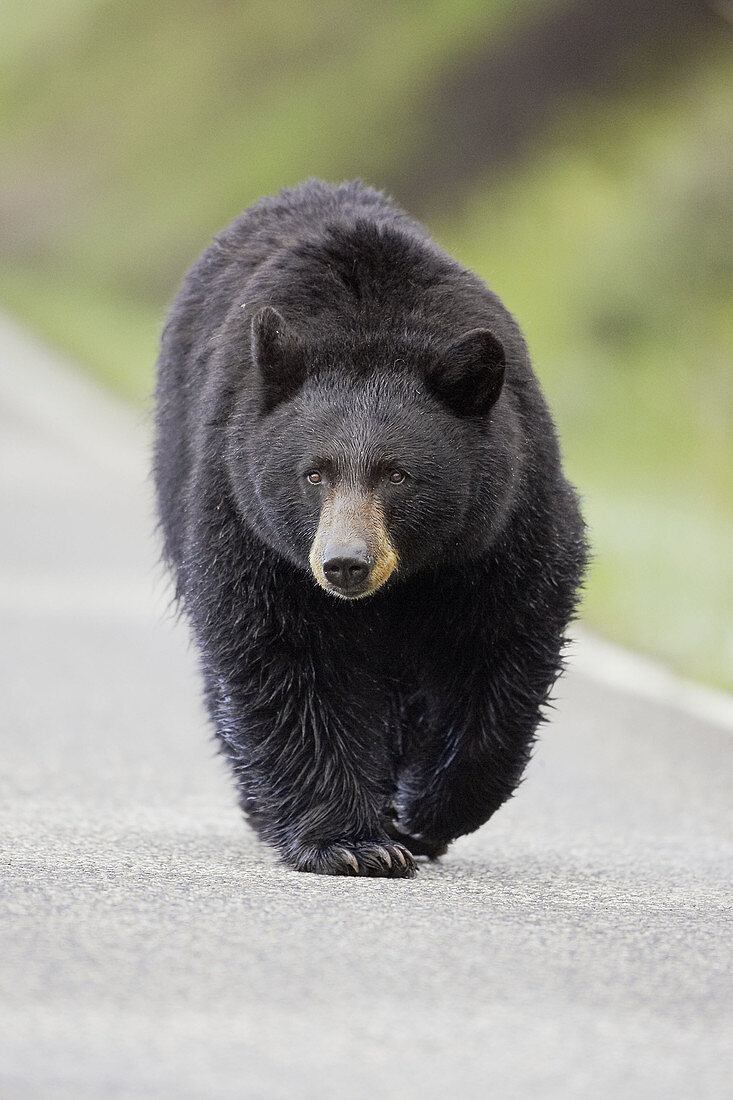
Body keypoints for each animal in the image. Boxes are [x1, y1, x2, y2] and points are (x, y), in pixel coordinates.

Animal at [150, 180, 585, 875]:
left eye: (398, 474)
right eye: (313, 473)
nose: (345, 563)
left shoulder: (505, 525)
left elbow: (501, 648)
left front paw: (425, 810)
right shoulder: (249, 523)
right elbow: (288, 660)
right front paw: (352, 843)